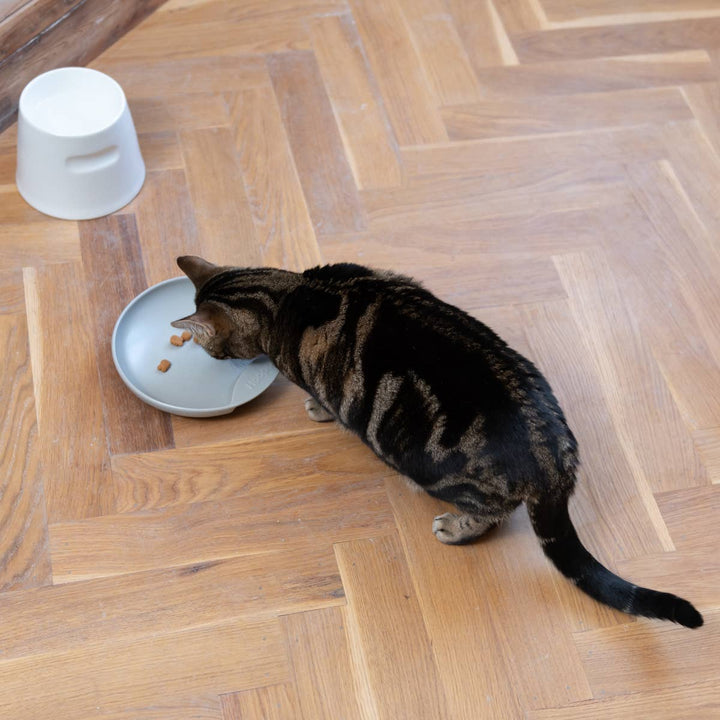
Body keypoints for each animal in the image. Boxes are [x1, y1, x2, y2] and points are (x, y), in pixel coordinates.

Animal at [174, 256, 704, 628]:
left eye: (207, 345)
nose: (209, 355)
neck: (289, 291)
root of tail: (555, 463)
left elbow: (326, 401)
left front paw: (317, 410)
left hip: (429, 469)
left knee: (491, 514)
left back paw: (455, 526)